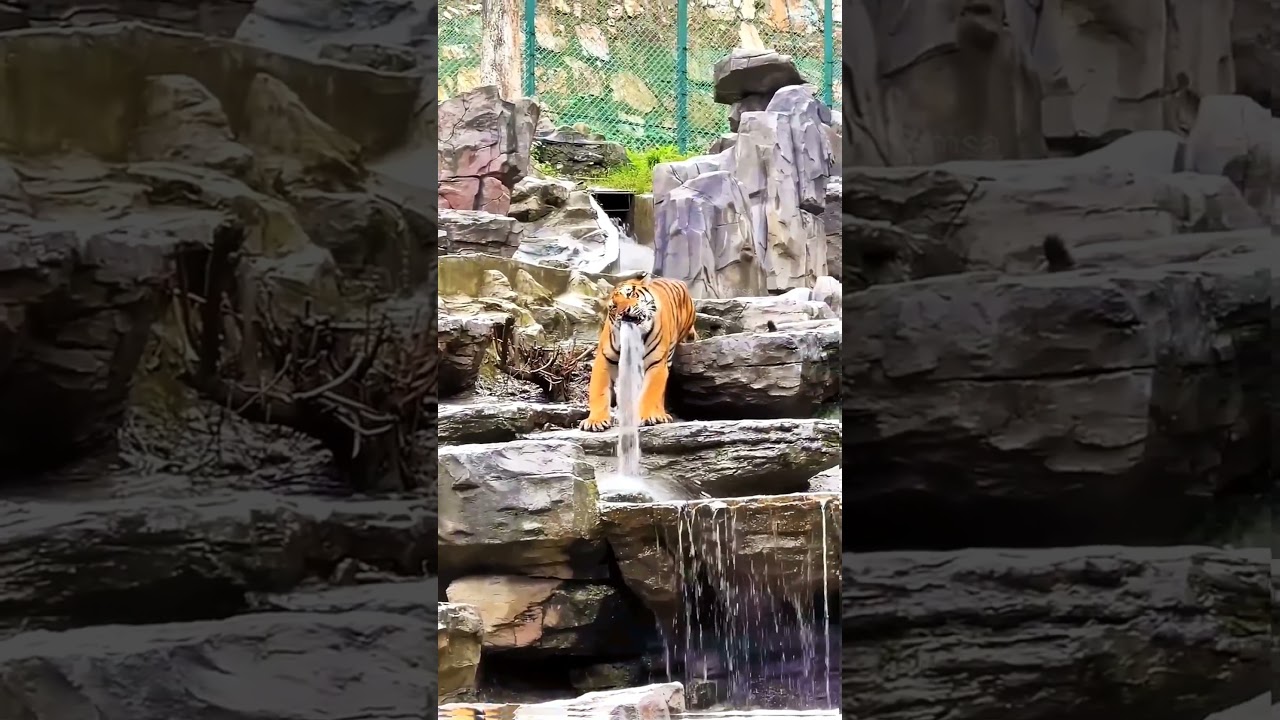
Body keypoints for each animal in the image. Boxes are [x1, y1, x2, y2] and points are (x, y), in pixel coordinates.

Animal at [579, 271, 698, 432]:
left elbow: (650, 392)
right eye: (614, 306)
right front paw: (595, 421)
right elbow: (599, 392)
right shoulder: (604, 360)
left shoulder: (656, 363)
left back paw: (660, 414)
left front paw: (647, 417)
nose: (624, 312)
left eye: (630, 294)